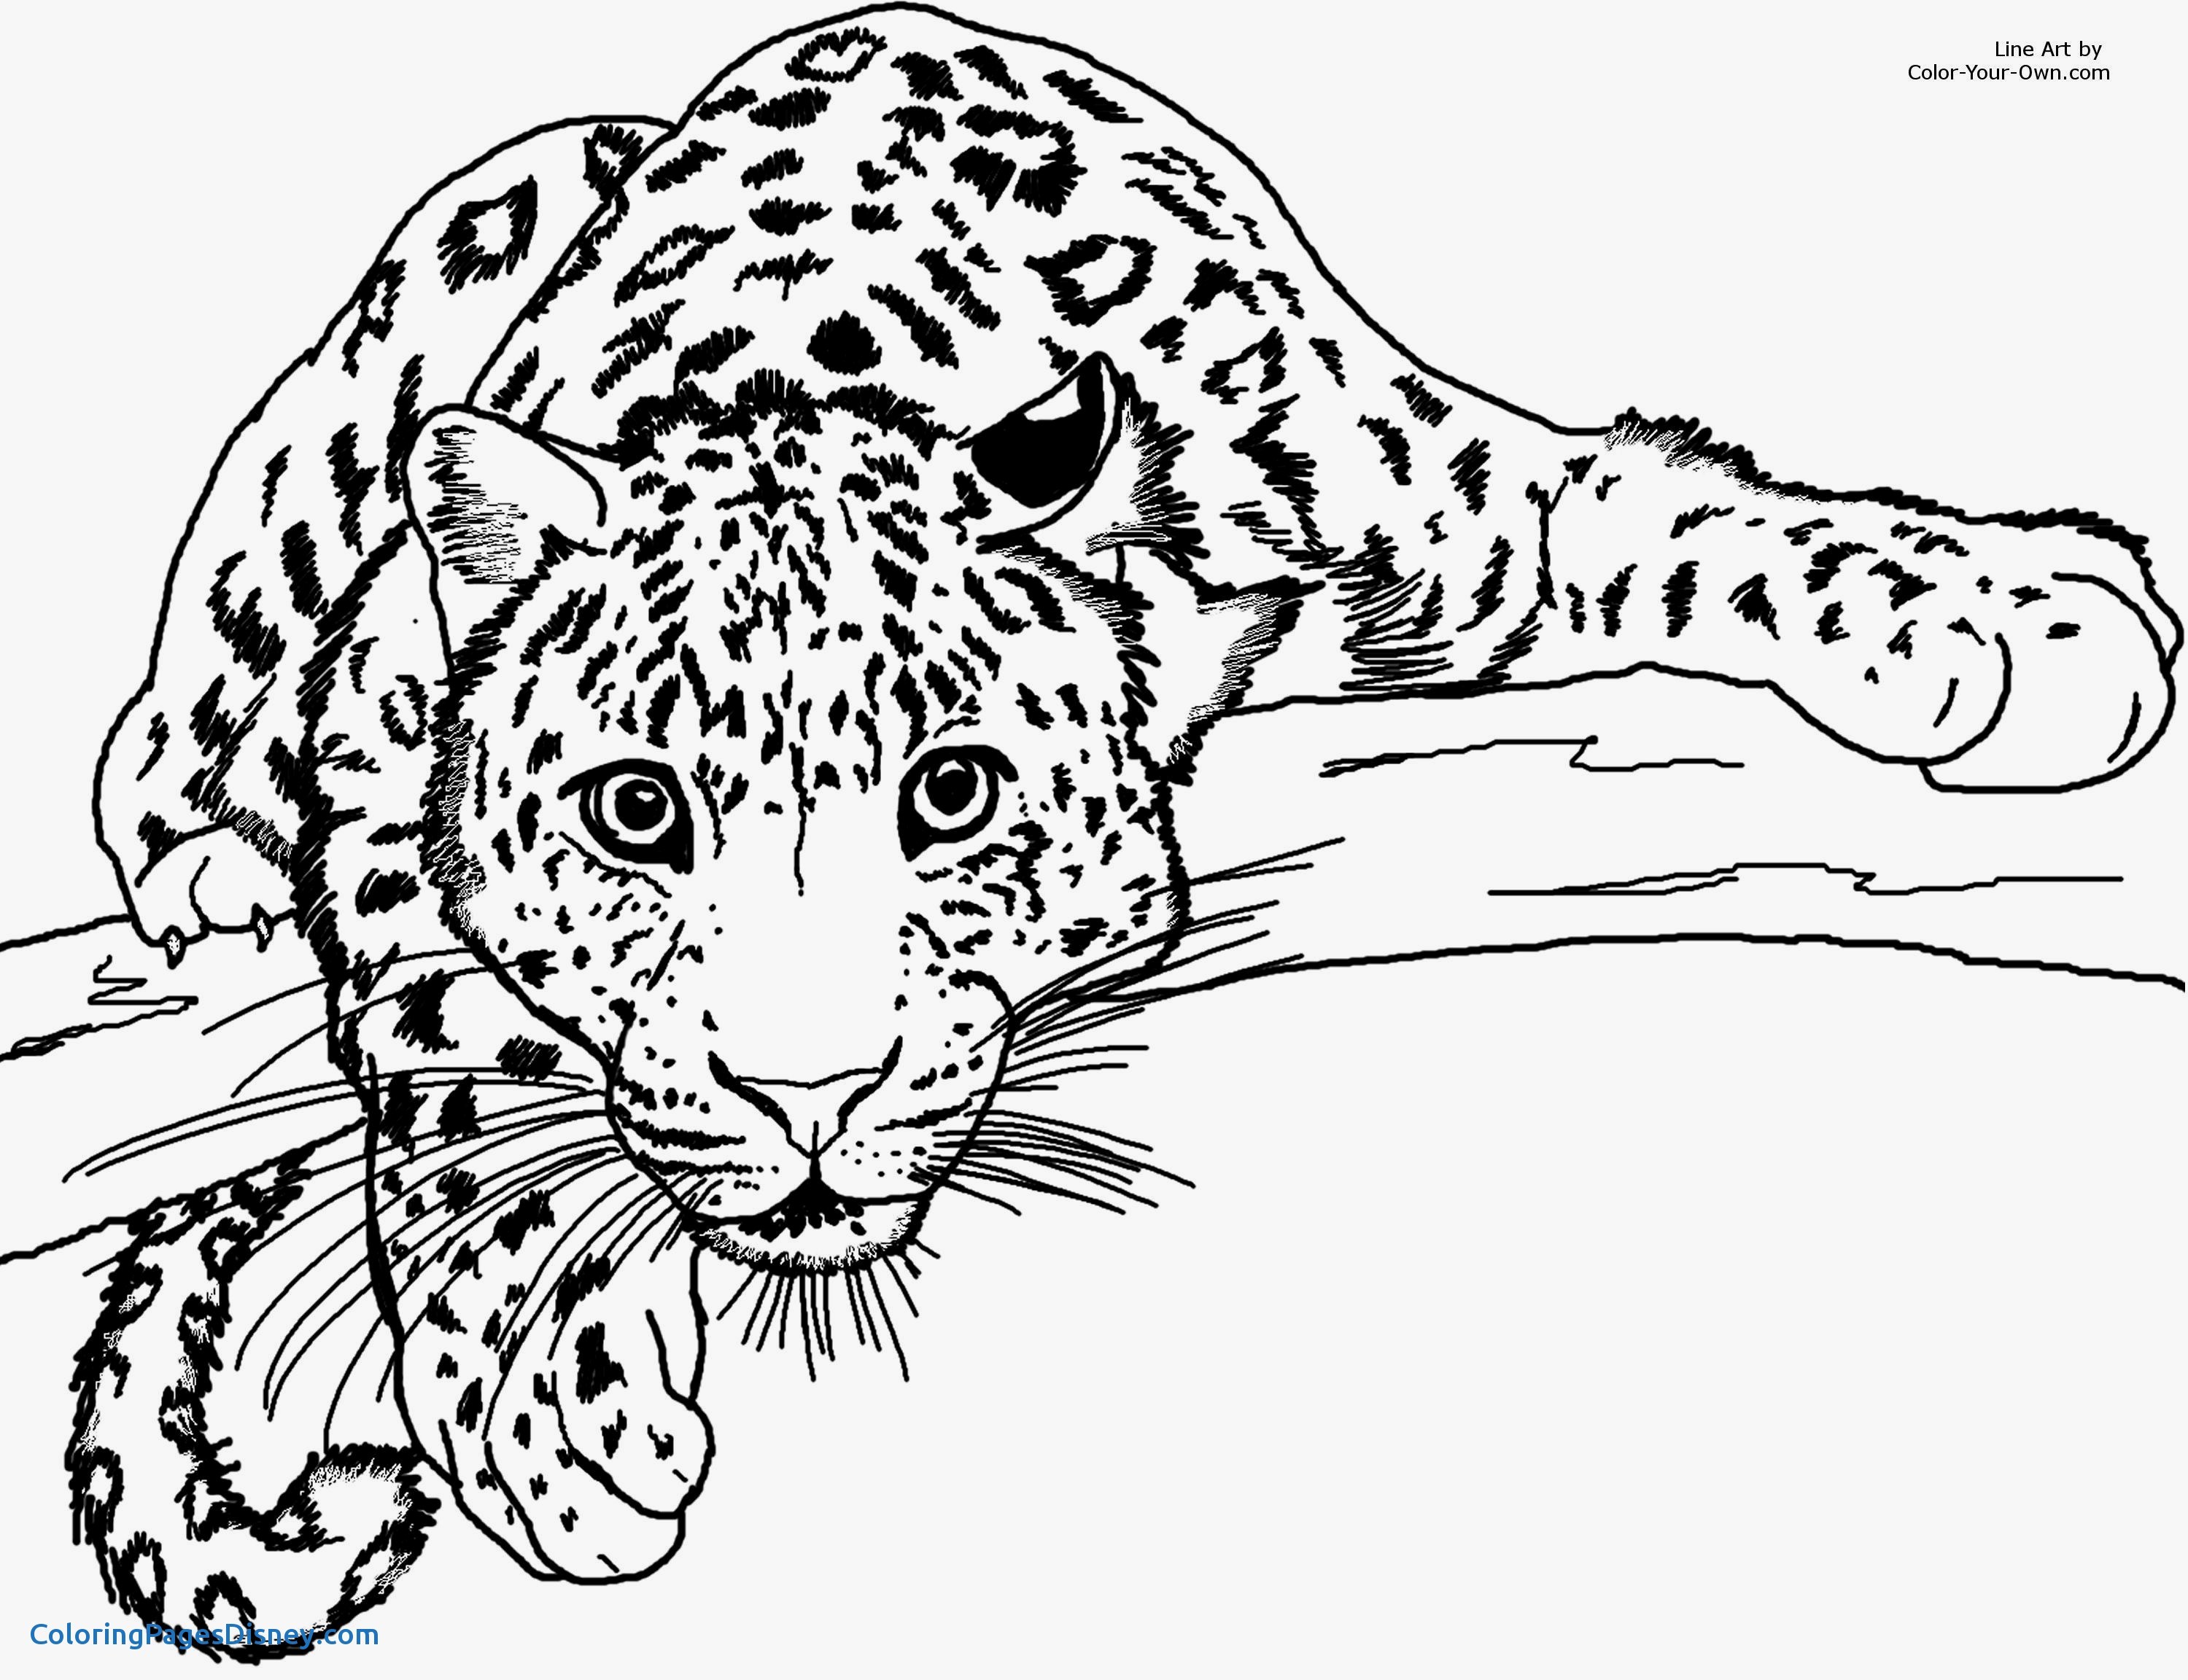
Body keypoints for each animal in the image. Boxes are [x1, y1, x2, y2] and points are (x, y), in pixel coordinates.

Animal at [68, 3, 2178, 1654]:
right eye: (636, 814)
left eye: (950, 795)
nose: (804, 1095)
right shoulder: (380, 685)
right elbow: (445, 1021)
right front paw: (553, 1407)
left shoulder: (1458, 511)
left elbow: (1699, 522)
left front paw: (2013, 616)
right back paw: (191, 858)